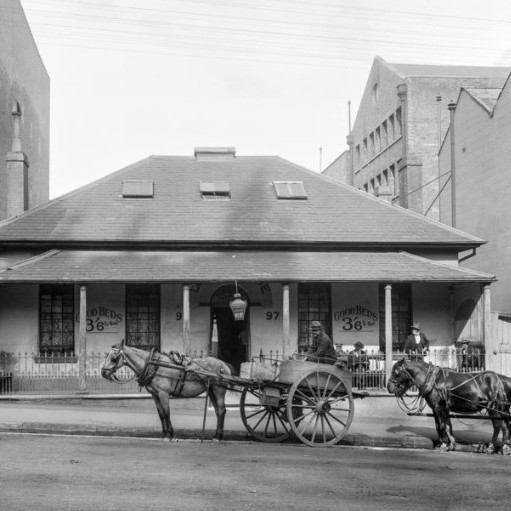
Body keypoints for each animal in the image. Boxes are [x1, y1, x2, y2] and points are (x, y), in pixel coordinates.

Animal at [101, 342, 233, 442]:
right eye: (106, 355)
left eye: (114, 358)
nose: (103, 372)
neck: (153, 364)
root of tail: (224, 364)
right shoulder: (155, 395)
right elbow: (160, 414)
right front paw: (165, 434)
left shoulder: (163, 393)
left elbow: (166, 412)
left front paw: (170, 434)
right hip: (211, 390)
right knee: (218, 411)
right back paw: (217, 435)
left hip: (218, 390)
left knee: (221, 411)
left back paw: (218, 437)